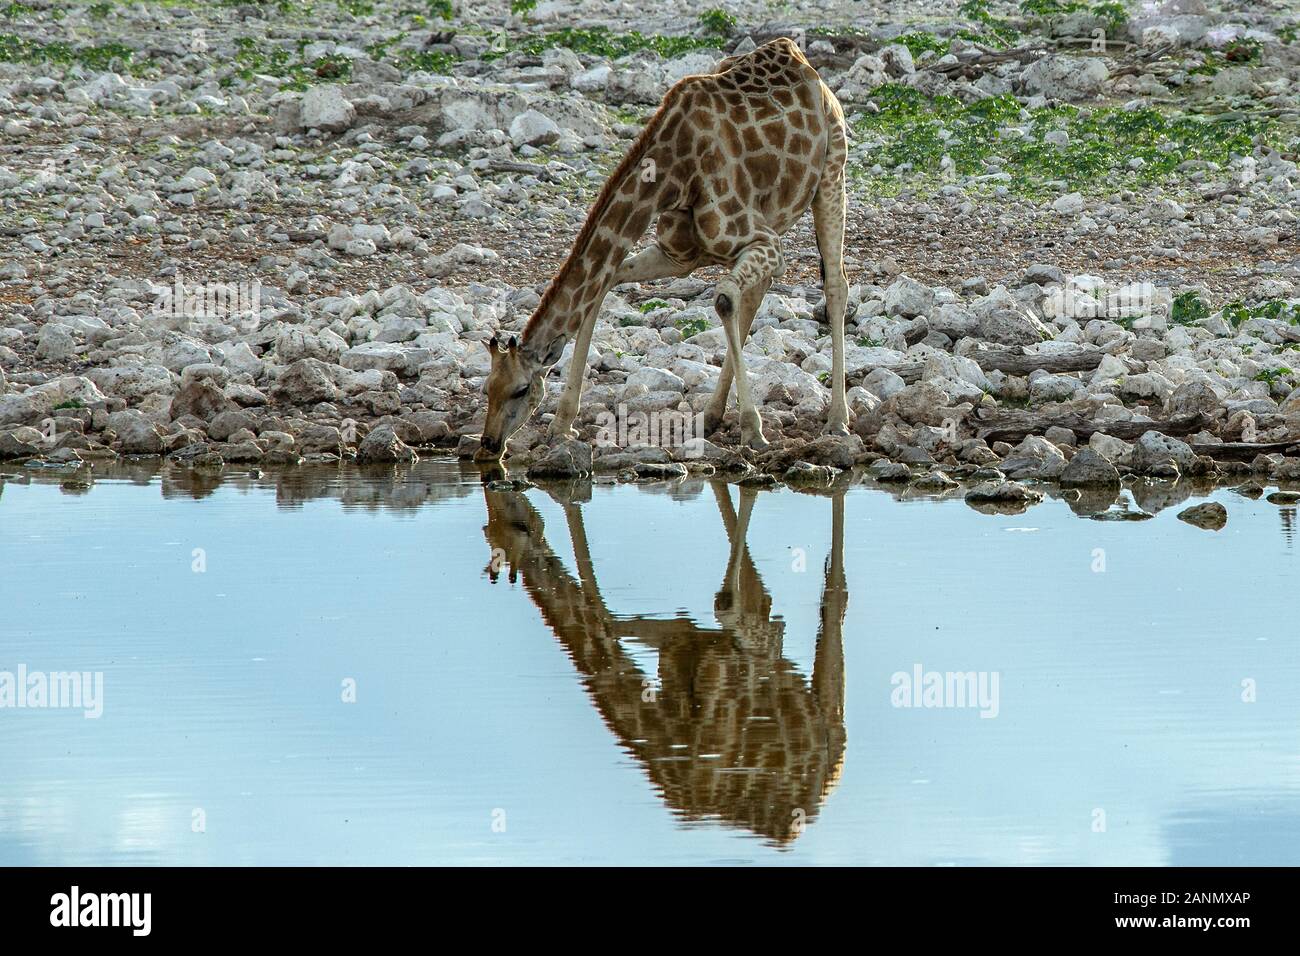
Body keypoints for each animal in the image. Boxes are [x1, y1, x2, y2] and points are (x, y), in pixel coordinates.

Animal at [475, 37, 850, 462]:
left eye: (521, 389)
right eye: (487, 387)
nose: (489, 443)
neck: (673, 174)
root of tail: (798, 56)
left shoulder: (766, 241)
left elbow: (724, 299)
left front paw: (753, 430)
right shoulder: (681, 254)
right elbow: (605, 284)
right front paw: (561, 424)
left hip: (832, 171)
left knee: (835, 285)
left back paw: (837, 421)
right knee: (756, 294)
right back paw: (713, 415)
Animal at [482, 479, 848, 844]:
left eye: (514, 525)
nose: (493, 476)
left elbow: (727, 604)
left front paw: (755, 630)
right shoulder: (675, 639)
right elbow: (608, 618)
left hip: (827, 715)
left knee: (837, 598)